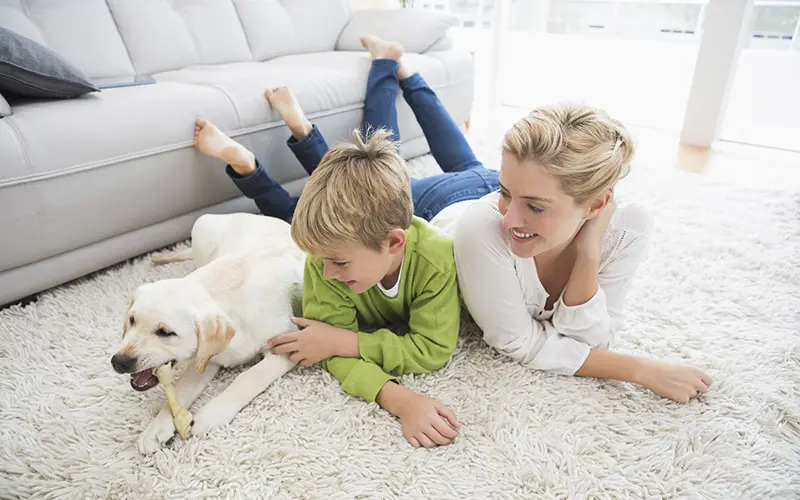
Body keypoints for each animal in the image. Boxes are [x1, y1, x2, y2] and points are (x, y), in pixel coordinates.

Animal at [109, 213, 304, 456]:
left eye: (165, 332)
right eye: (132, 320)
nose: (119, 361)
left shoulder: (287, 344)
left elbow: (248, 377)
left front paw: (212, 414)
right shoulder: (205, 358)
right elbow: (182, 389)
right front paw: (156, 427)